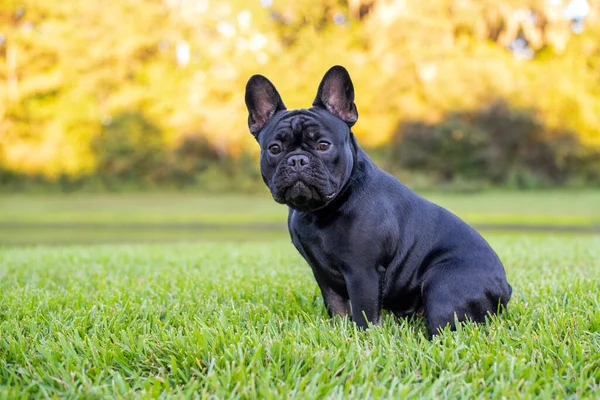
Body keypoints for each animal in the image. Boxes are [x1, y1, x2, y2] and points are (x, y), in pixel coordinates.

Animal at [244, 65, 510, 338]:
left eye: (323, 145)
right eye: (274, 149)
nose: (297, 160)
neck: (318, 211)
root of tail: (505, 289)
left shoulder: (362, 273)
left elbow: (364, 313)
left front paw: (363, 339)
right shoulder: (322, 274)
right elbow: (337, 307)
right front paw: (341, 331)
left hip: (444, 285)